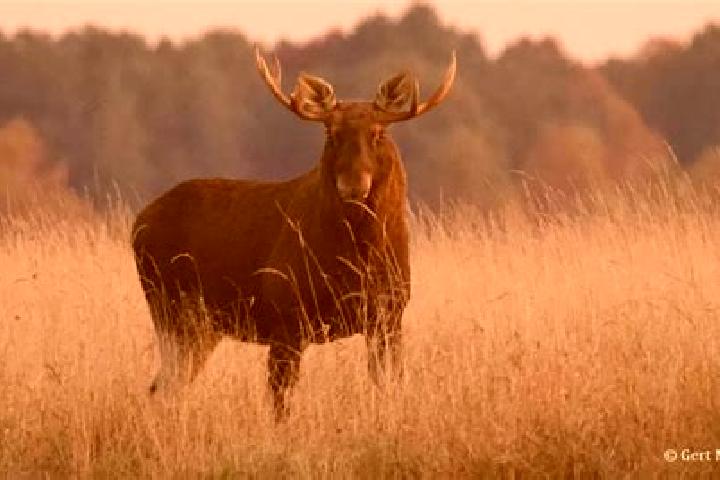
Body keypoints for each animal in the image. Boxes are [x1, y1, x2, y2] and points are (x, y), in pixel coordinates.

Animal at [132, 47, 456, 419]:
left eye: (378, 133)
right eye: (330, 134)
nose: (353, 186)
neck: (357, 261)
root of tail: (137, 223)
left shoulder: (389, 315)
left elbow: (387, 386)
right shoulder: (285, 314)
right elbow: (280, 402)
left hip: (199, 322)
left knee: (163, 386)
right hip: (170, 306)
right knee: (164, 385)